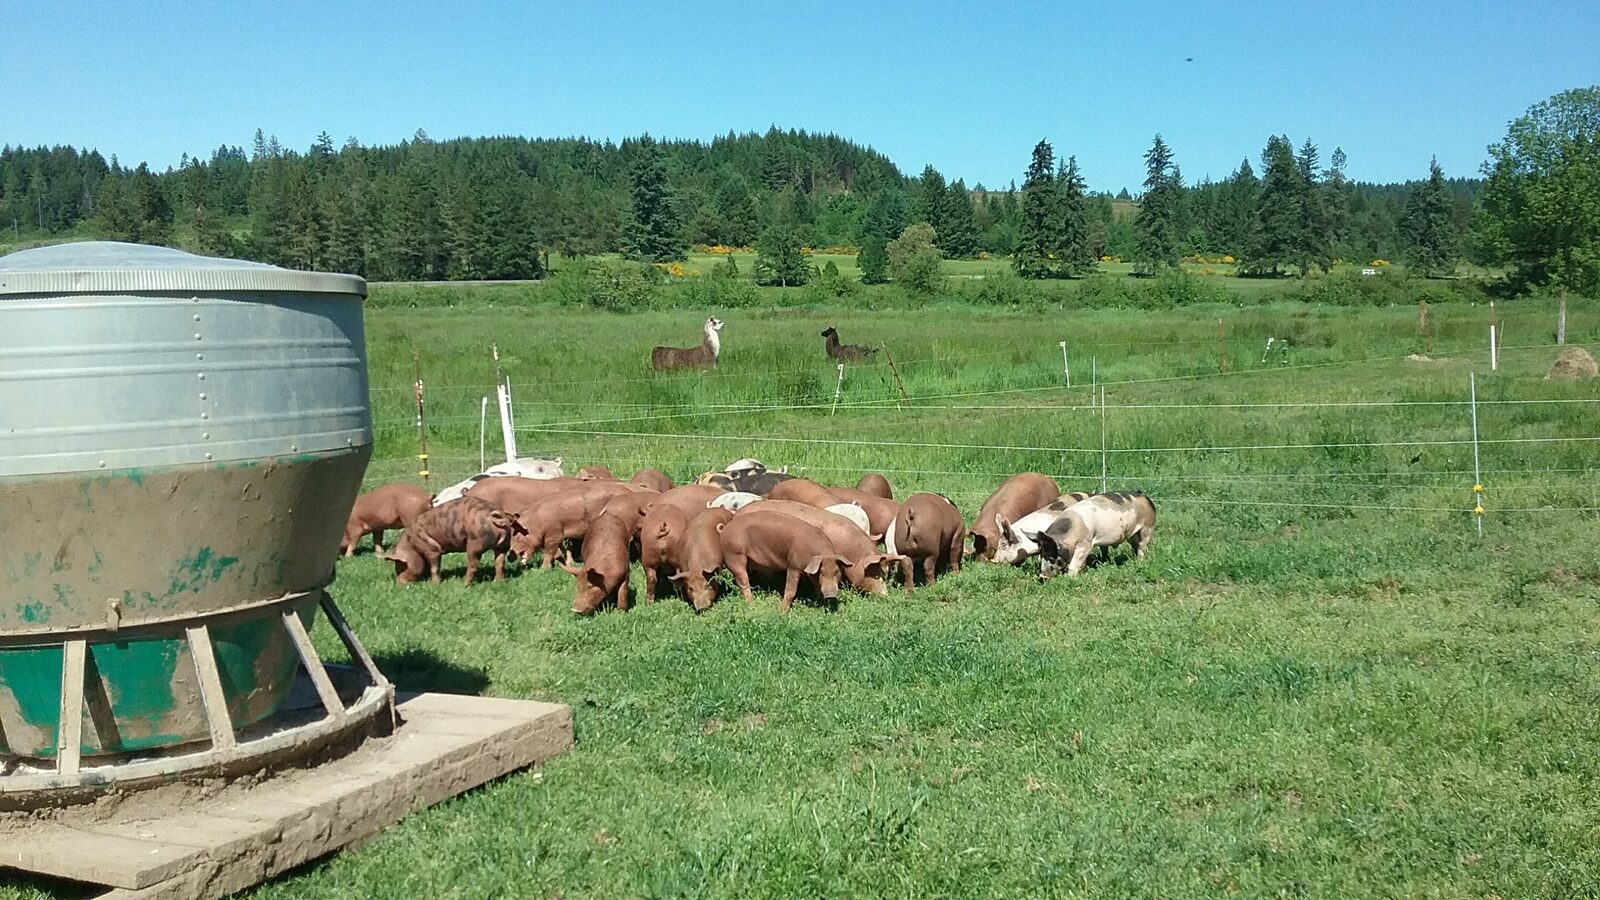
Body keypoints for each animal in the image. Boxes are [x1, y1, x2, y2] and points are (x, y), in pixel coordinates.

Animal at [381, 496, 526, 586]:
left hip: (475, 543)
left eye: (400, 565)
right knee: (499, 562)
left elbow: (434, 567)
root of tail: (497, 517)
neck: (411, 543)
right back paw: (498, 582)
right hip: (503, 544)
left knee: (473, 564)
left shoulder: (432, 549)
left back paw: (464, 585)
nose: (398, 586)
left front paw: (435, 585)